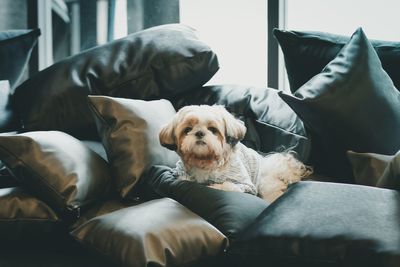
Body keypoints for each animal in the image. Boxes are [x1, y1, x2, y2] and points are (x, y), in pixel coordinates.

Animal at [159, 104, 312, 203]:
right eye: (187, 130)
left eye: (213, 129)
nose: (199, 133)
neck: (205, 160)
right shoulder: (182, 173)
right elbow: (184, 179)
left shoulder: (246, 185)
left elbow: (229, 185)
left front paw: (215, 186)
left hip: (265, 184)